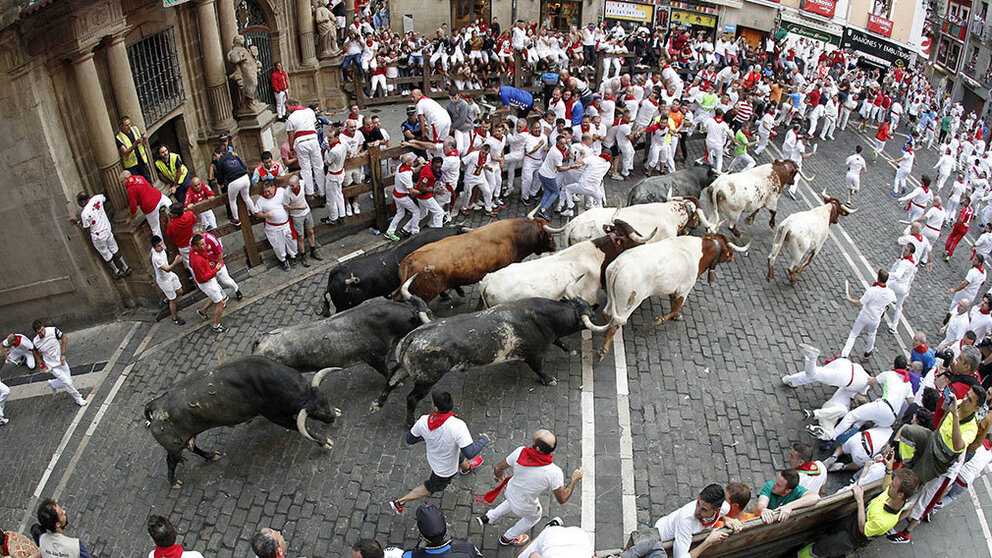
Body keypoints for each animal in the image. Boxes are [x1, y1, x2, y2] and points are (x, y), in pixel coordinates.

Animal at [584, 233, 748, 358]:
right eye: (729, 250)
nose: (733, 258)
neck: (700, 253)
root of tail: (619, 265)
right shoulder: (684, 290)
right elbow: (675, 308)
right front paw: (661, 319)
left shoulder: (673, 288)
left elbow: (672, 303)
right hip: (627, 303)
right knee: (616, 322)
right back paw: (604, 350)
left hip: (614, 298)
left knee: (607, 314)